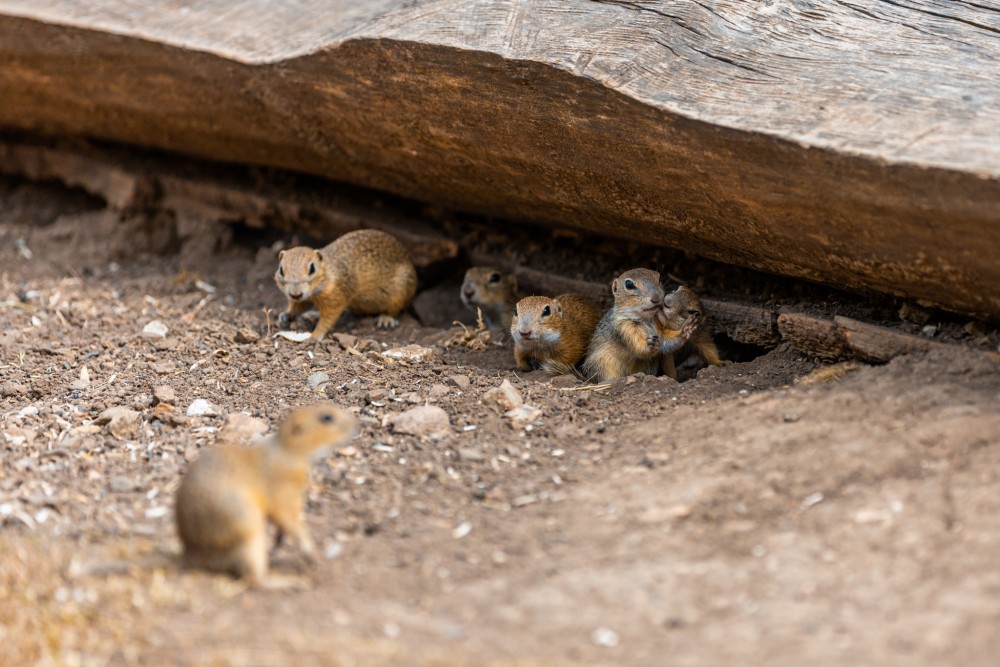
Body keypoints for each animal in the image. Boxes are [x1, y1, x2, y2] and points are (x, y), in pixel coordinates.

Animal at [174, 402, 358, 584]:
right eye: (326, 417)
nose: (358, 424)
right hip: (249, 531)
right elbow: (286, 516)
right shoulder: (283, 488)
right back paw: (288, 580)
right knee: (253, 579)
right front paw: (310, 551)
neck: (286, 451)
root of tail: (192, 556)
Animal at [276, 231, 416, 344]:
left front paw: (314, 336)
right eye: (281, 270)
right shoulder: (306, 298)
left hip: (400, 293)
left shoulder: (336, 299)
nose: (295, 294)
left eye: (312, 268)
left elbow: (327, 320)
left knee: (395, 310)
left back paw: (386, 319)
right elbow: (298, 307)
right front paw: (285, 315)